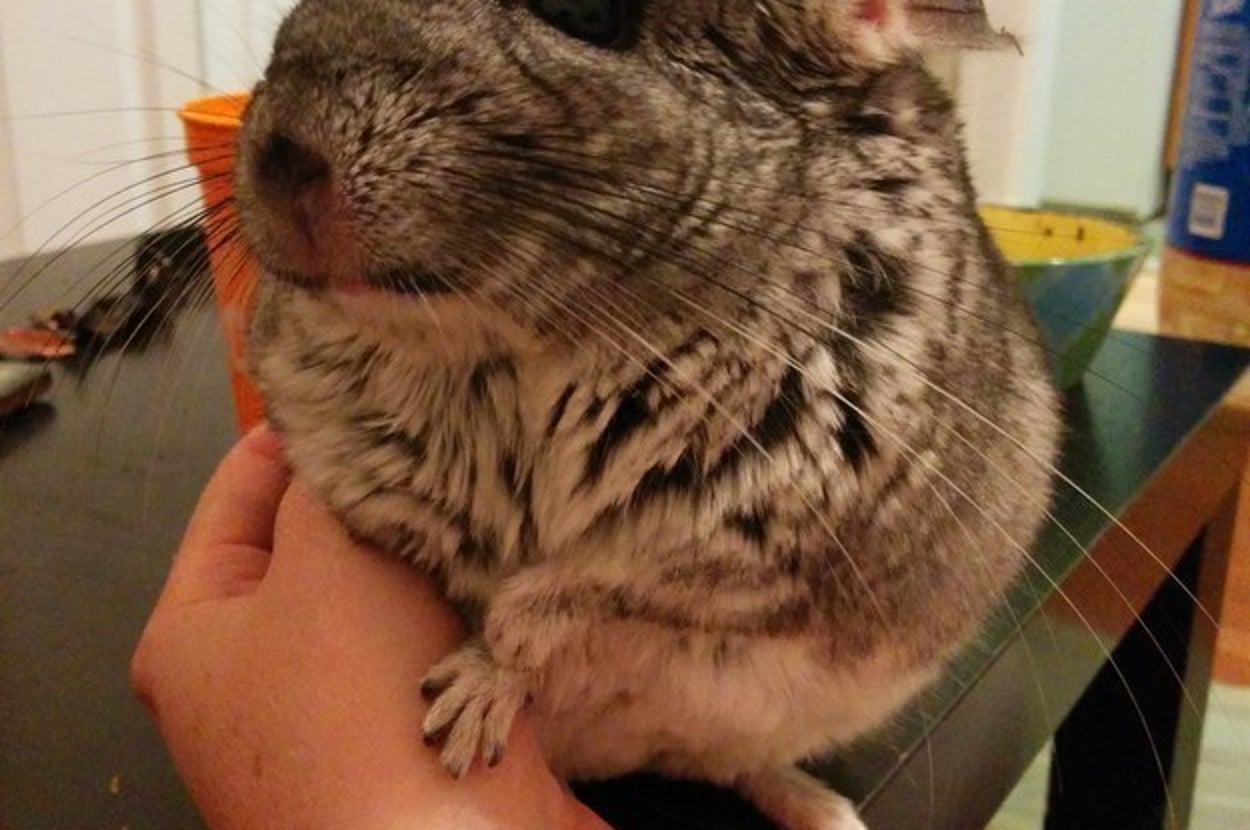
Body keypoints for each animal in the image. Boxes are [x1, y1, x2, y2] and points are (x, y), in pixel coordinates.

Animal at [232, 0, 1062, 826]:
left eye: (585, 14)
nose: (282, 160)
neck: (530, 350)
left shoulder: (759, 546)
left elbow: (561, 600)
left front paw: (464, 710)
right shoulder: (348, 467)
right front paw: (463, 717)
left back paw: (828, 812)